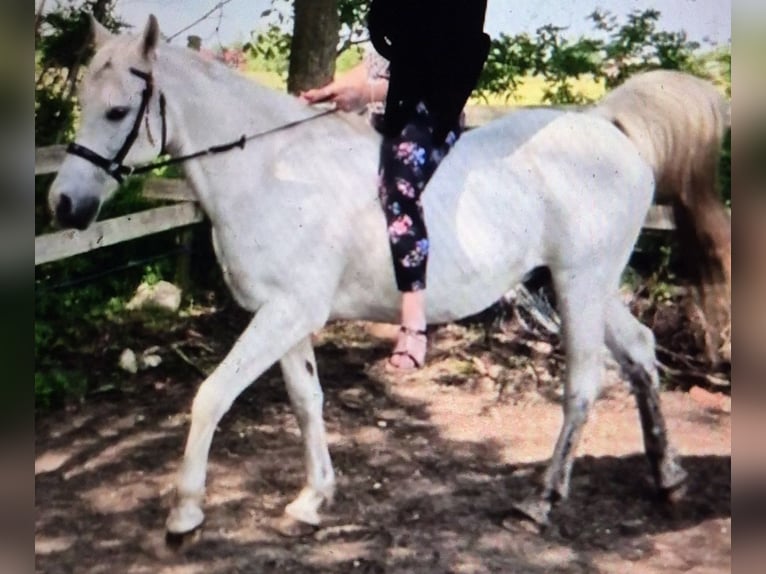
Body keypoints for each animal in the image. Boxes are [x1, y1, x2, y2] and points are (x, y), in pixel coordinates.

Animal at [48, 16, 688, 540]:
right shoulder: (285, 315)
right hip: (583, 285)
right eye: (82, 99)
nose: (64, 205)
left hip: (580, 285)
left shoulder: (286, 313)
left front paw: (184, 514)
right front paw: (311, 500)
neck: (272, 172)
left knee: (583, 383)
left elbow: (212, 395)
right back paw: (668, 476)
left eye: (118, 111)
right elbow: (307, 400)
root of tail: (606, 127)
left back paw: (542, 501)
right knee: (640, 350)